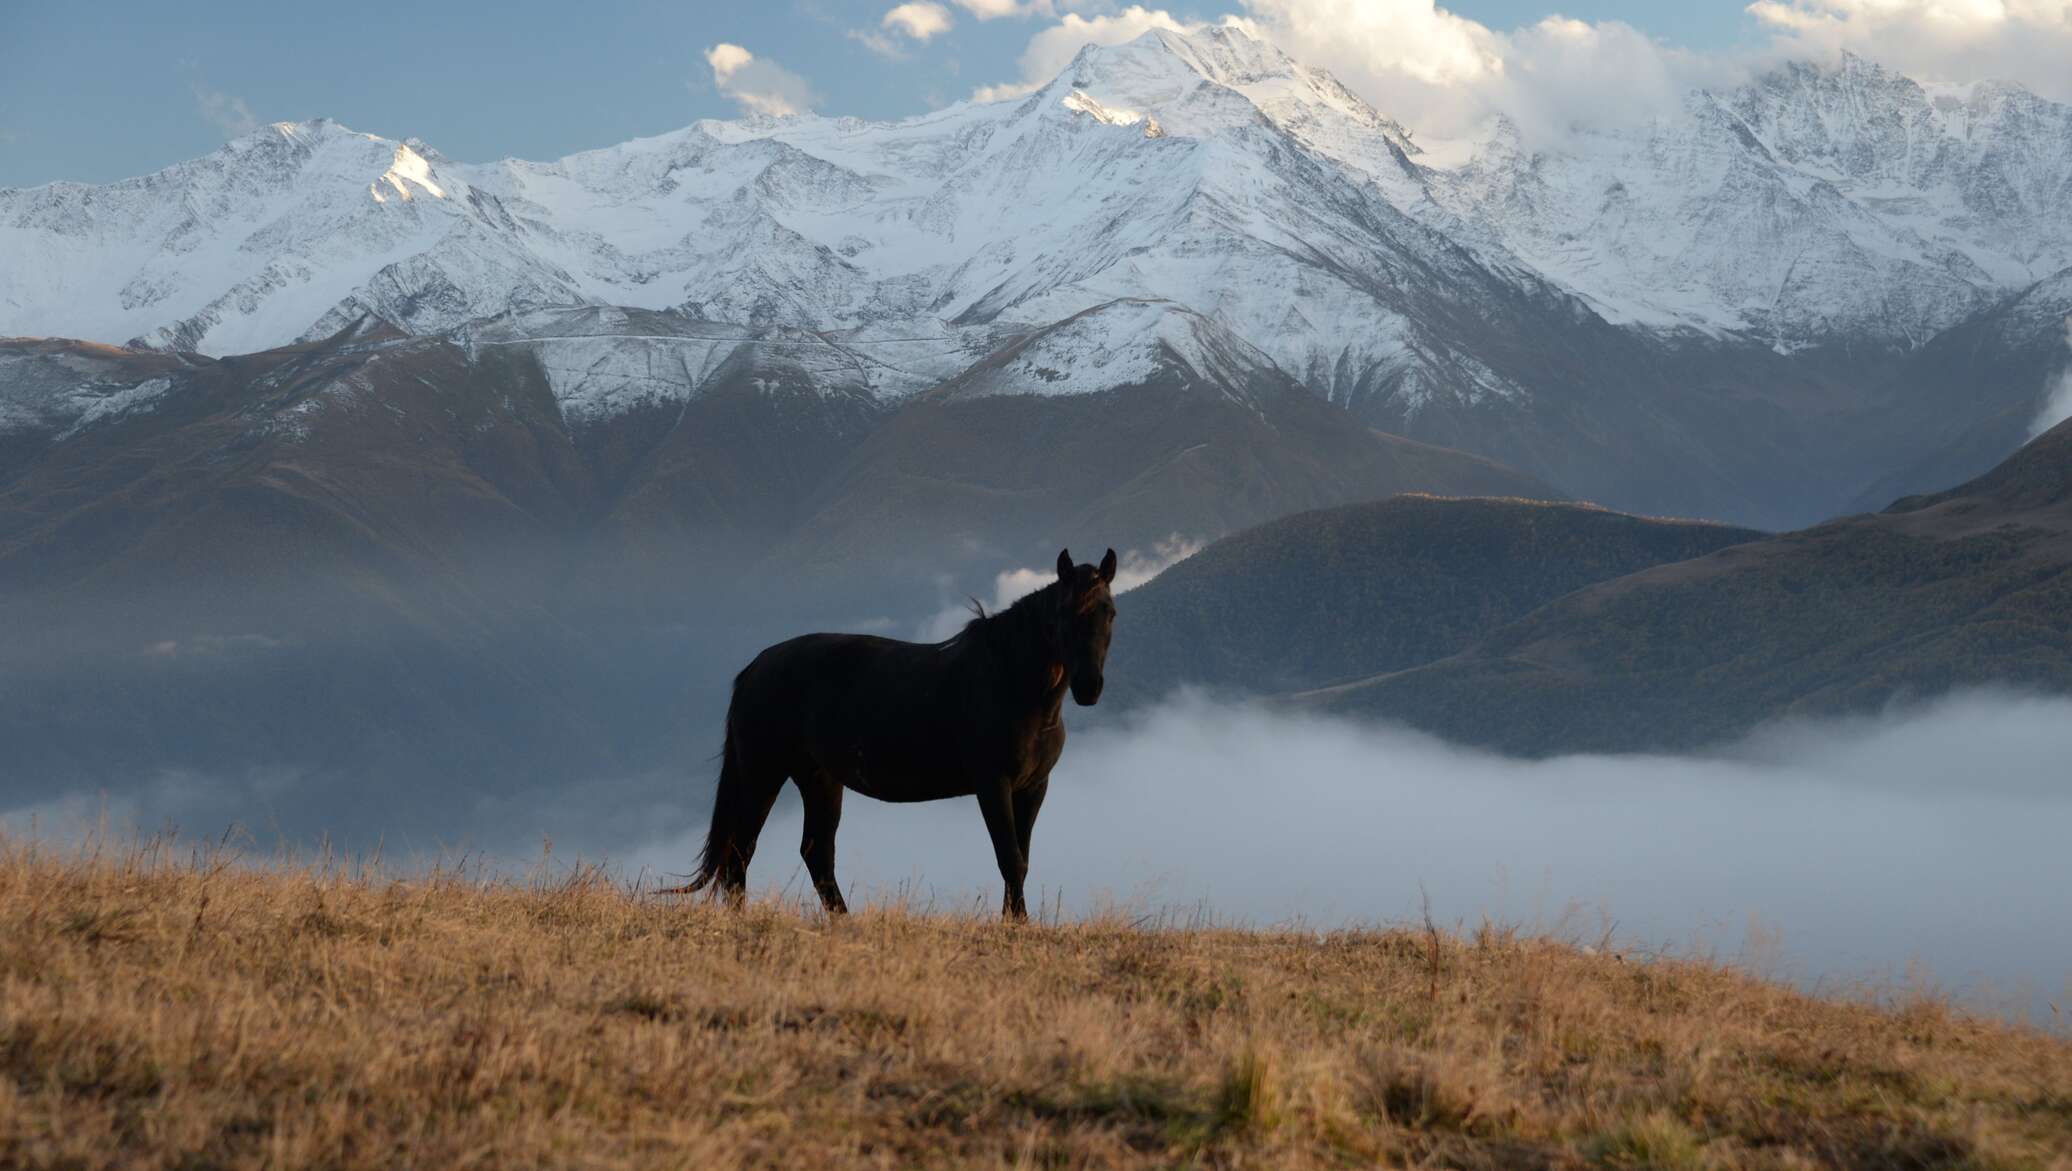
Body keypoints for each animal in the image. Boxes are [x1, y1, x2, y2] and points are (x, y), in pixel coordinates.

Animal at [679, 543, 1118, 916]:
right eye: (1065, 612)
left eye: (1109, 612)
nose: (1090, 688)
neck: (1010, 682)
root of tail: (755, 668)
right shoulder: (994, 785)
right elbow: (1009, 858)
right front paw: (1015, 925)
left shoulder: (1033, 787)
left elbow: (1022, 861)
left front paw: (1017, 921)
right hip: (763, 774)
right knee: (742, 850)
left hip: (819, 779)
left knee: (816, 854)